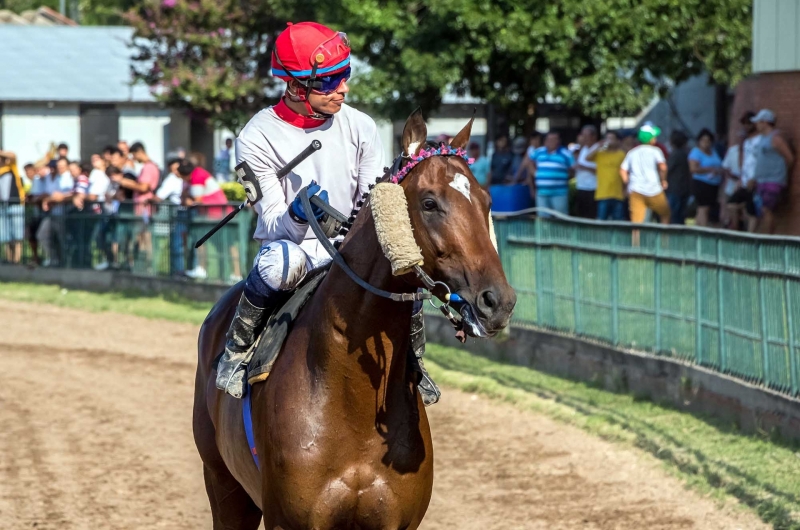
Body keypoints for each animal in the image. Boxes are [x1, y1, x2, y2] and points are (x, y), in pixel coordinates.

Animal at [194, 109, 520, 524]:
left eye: (486, 200)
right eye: (429, 203)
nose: (498, 301)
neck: (351, 398)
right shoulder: (288, 518)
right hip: (223, 484)